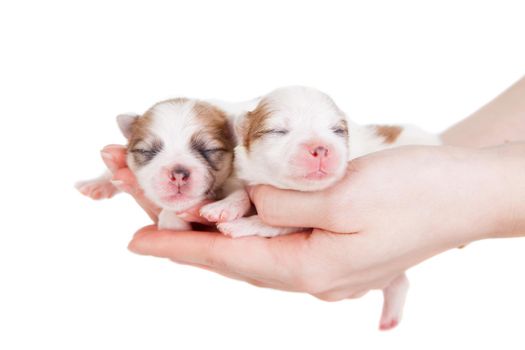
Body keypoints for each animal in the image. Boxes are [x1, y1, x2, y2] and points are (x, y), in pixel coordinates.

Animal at [76, 98, 254, 230]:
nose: (178, 174)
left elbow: (241, 192)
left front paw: (224, 207)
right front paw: (96, 183)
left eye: (208, 150)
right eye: (146, 151)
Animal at [207, 85, 440, 330]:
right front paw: (223, 206)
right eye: (278, 131)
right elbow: (242, 191)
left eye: (337, 131)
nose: (320, 148)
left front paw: (239, 225)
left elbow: (275, 223)